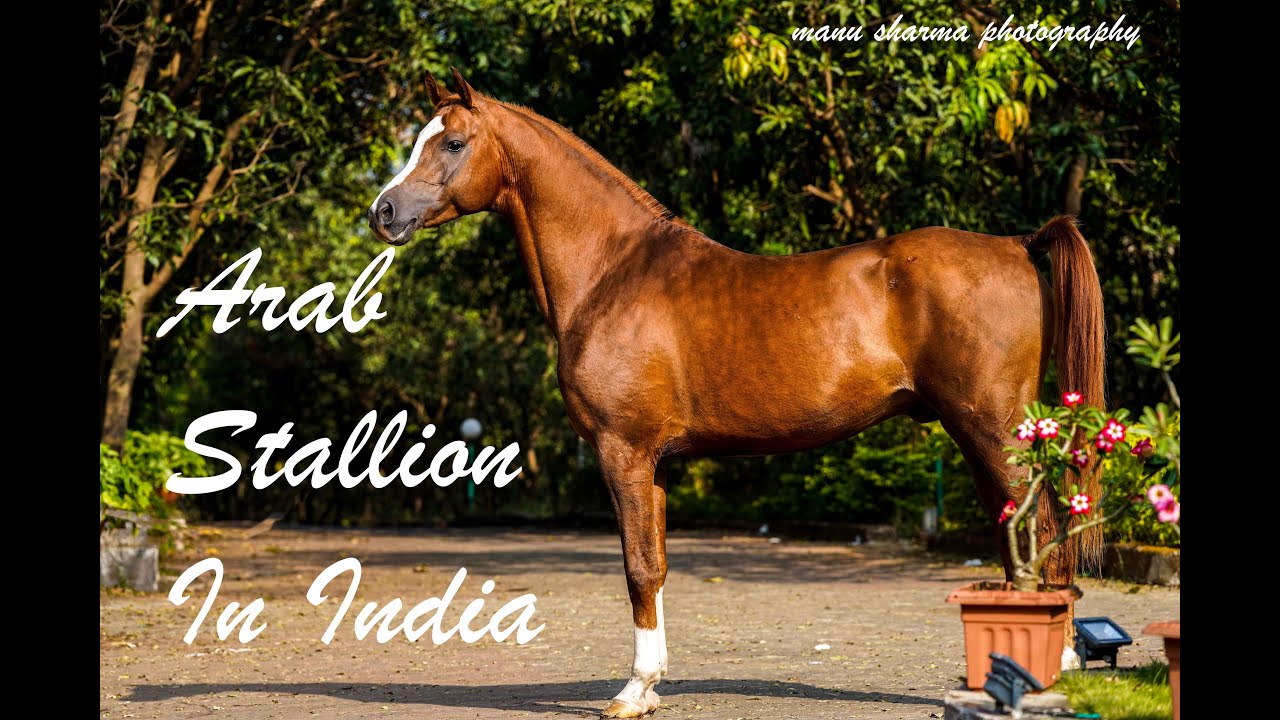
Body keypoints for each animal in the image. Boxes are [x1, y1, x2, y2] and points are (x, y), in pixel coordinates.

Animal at [367, 68, 1106, 718]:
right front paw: (652, 684)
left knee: (1041, 531)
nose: (384, 212)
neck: (612, 273)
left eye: (452, 142)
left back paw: (1052, 670)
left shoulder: (622, 451)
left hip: (993, 429)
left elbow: (637, 567)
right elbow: (658, 565)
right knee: (1017, 535)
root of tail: (1017, 244)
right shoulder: (656, 464)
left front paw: (631, 694)